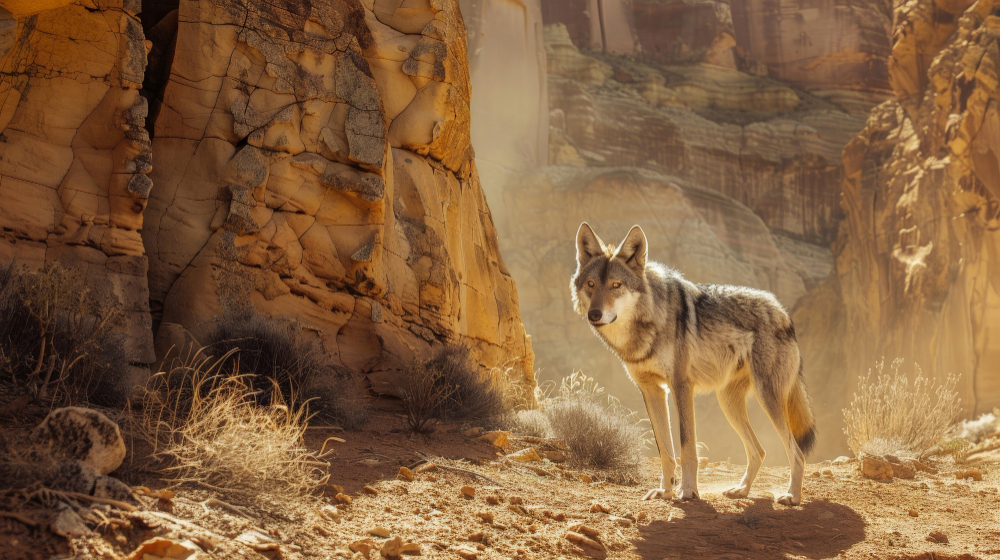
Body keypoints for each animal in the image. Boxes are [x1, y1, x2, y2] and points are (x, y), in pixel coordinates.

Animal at [570, 223, 816, 506]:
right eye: (591, 284)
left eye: (615, 285)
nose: (594, 314)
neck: (650, 321)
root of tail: (783, 311)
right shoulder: (652, 390)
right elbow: (665, 450)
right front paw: (665, 491)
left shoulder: (681, 386)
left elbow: (687, 448)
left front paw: (688, 491)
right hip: (728, 403)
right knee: (759, 451)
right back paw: (741, 490)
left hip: (768, 398)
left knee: (797, 452)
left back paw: (792, 496)